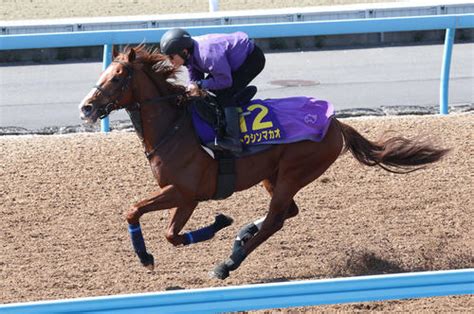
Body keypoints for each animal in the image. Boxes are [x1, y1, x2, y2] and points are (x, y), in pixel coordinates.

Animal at [78, 46, 448, 280]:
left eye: (118, 76)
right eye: (105, 72)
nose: (86, 107)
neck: (175, 126)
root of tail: (333, 121)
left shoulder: (185, 193)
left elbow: (156, 225)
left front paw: (152, 253)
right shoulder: (181, 195)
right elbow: (151, 222)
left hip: (294, 172)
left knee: (275, 220)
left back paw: (229, 262)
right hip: (274, 176)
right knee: (285, 214)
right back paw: (242, 236)